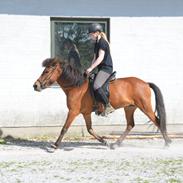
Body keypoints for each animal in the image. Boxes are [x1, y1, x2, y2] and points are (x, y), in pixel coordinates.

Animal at [33, 56, 172, 149]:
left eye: (46, 71)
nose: (35, 86)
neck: (76, 86)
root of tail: (145, 83)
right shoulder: (86, 113)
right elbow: (90, 129)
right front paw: (104, 141)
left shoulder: (73, 111)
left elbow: (64, 128)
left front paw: (55, 145)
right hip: (129, 108)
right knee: (130, 125)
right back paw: (115, 144)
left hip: (145, 107)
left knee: (157, 121)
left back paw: (167, 143)